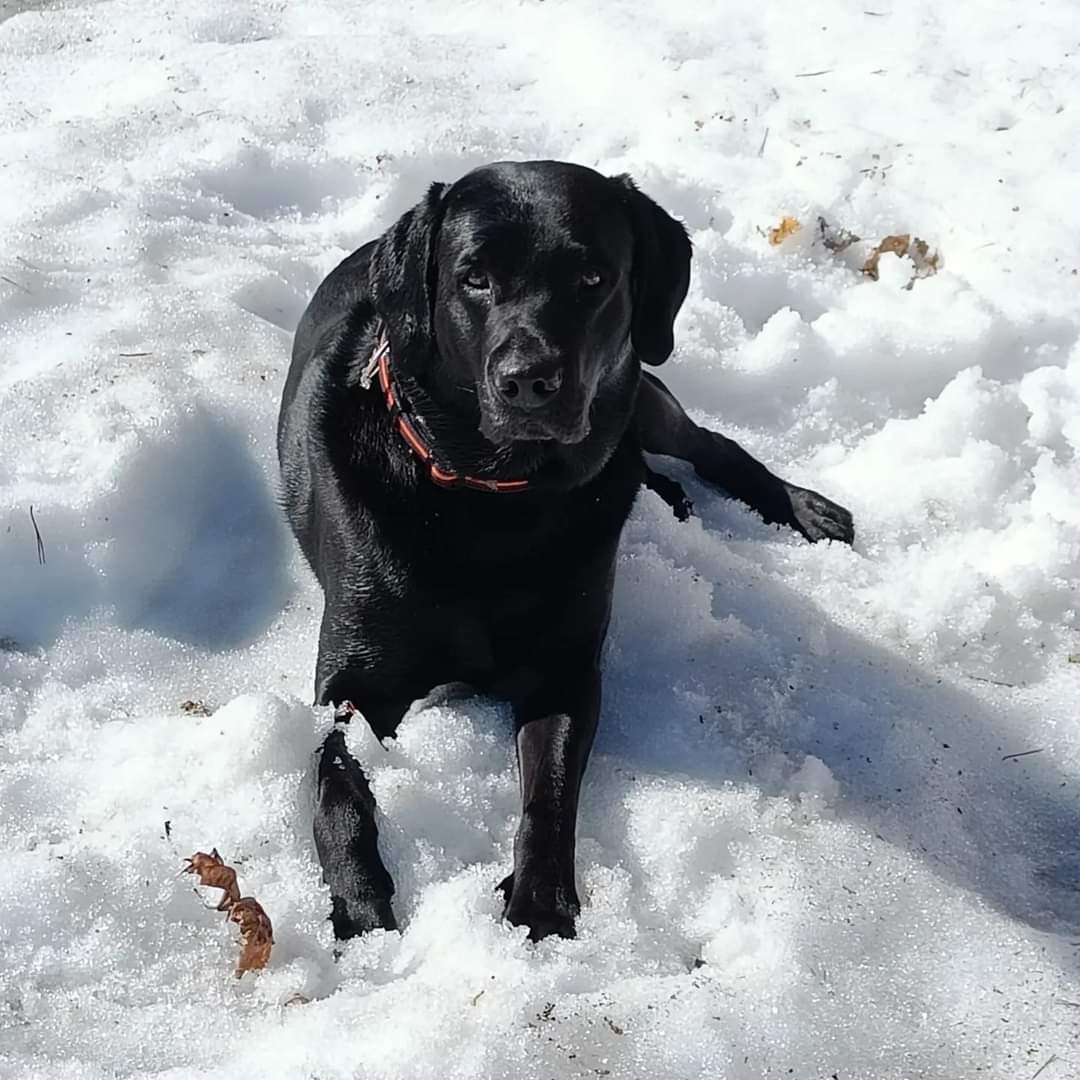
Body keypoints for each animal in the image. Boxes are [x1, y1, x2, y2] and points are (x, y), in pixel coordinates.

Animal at [278, 156, 851, 941]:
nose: (529, 381)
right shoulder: (351, 686)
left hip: (643, 390)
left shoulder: (567, 670)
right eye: (474, 277)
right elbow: (337, 787)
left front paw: (541, 908)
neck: (495, 500)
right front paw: (362, 909)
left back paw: (802, 507)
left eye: (592, 278)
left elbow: (548, 795)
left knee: (708, 444)